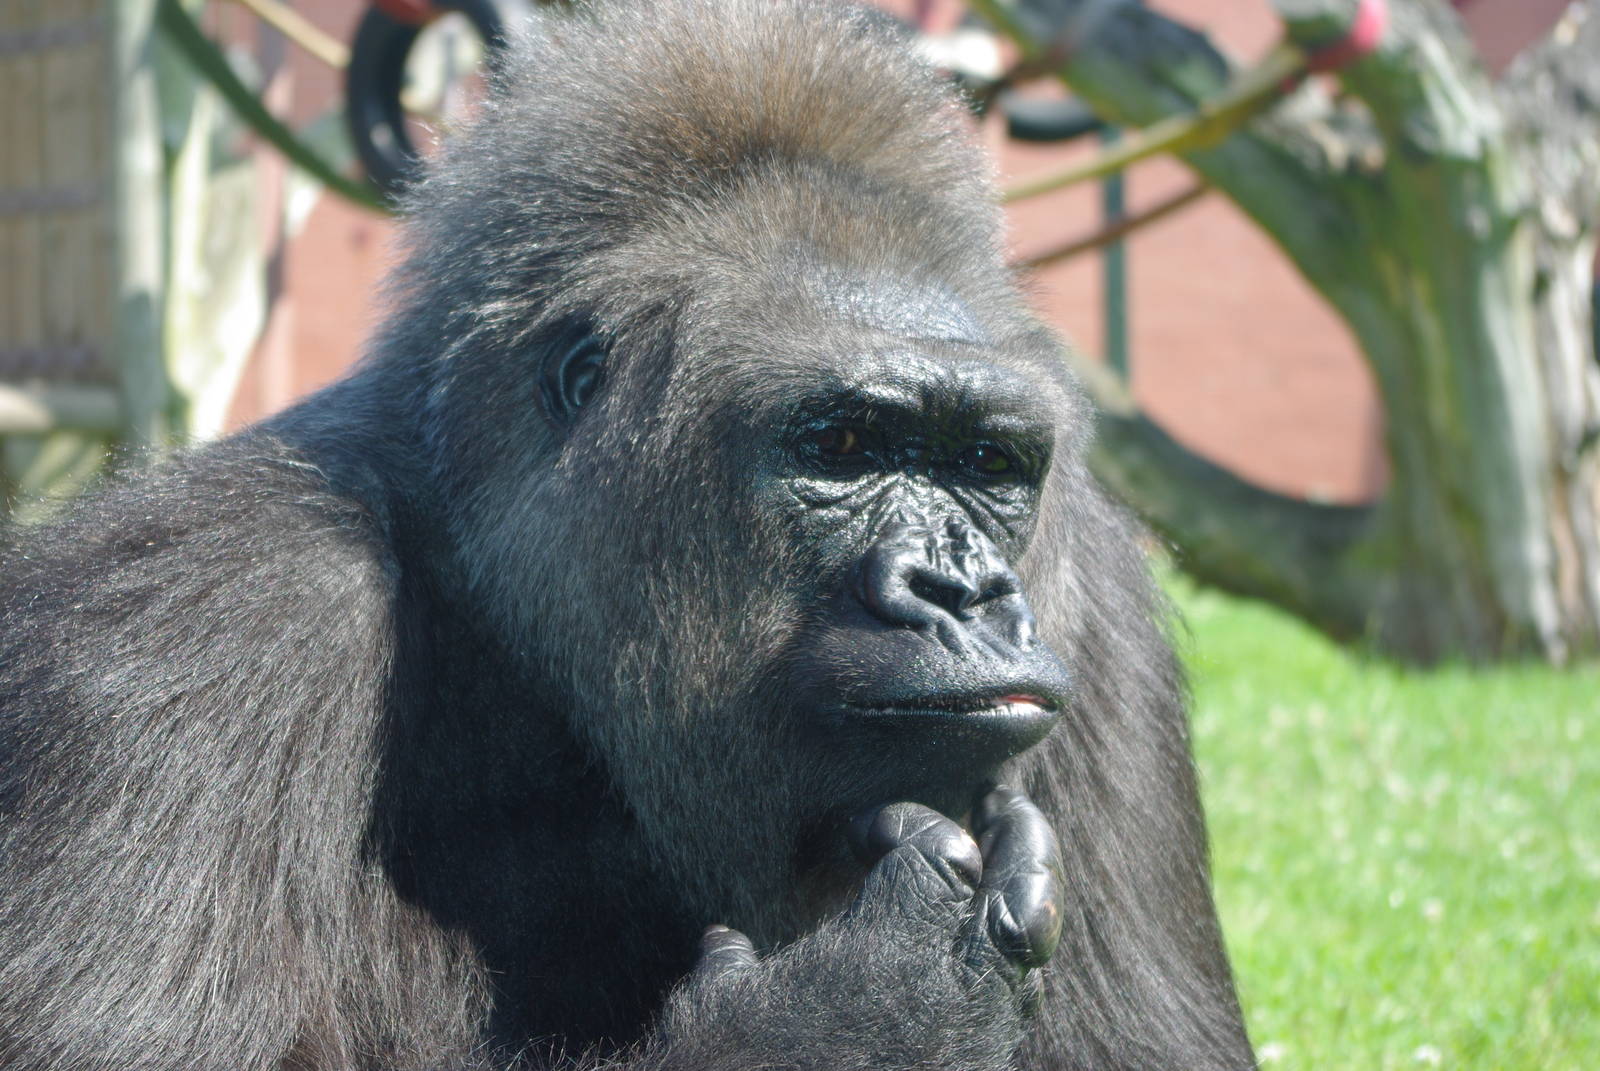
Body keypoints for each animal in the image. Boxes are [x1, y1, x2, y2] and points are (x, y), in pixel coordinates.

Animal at [0, 0, 1255, 1067]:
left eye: (987, 464)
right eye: (842, 445)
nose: (960, 592)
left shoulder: (1103, 617)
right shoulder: (197, 621)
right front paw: (868, 1010)